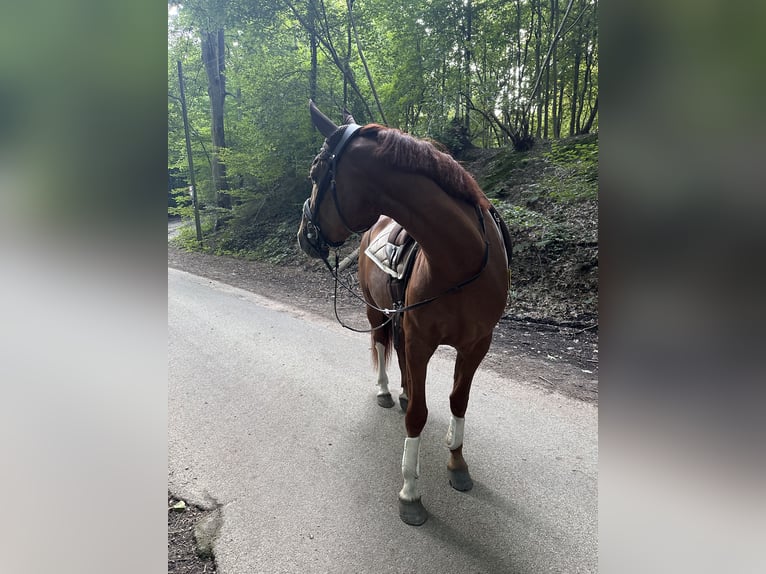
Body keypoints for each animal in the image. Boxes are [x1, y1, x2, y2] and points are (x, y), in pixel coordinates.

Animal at [296, 102, 512, 528]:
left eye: (315, 173)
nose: (303, 234)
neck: (459, 261)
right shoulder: (421, 339)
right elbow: (417, 415)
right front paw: (411, 491)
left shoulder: (477, 344)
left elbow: (458, 401)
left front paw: (457, 463)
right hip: (375, 310)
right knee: (381, 344)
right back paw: (385, 390)